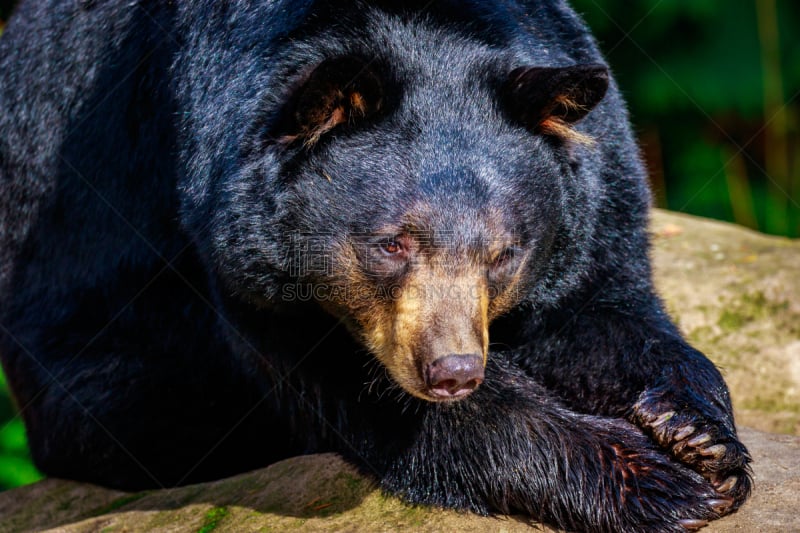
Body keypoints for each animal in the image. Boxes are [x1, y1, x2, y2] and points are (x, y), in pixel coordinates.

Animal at [1, 1, 752, 532]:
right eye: (393, 244)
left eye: (504, 253)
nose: (453, 371)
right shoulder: (224, 218)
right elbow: (365, 394)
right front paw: (656, 481)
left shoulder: (595, 177)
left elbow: (604, 301)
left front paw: (701, 440)